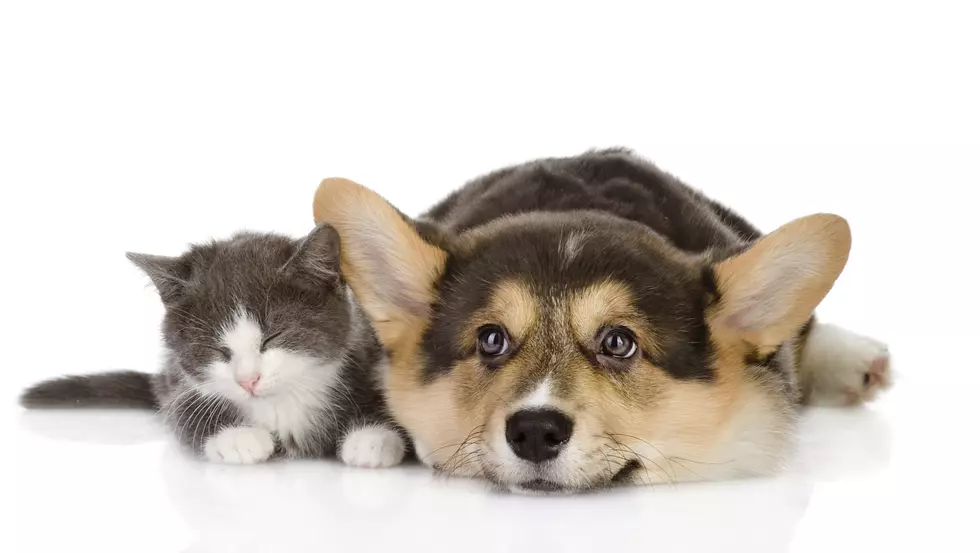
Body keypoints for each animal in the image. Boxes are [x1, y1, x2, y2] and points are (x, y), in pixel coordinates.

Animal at [21, 224, 408, 466]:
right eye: (216, 347)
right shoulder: (178, 383)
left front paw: (373, 438)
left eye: (273, 337)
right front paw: (237, 438)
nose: (248, 380)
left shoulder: (367, 347)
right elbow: (184, 413)